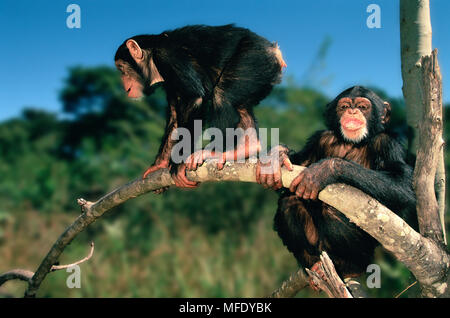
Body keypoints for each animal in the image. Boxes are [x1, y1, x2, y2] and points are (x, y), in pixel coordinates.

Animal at [114, 24, 286, 190]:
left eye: (122, 69)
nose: (123, 83)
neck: (153, 58)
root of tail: (275, 50)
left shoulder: (168, 57)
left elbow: (194, 97)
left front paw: (178, 164)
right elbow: (174, 117)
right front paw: (159, 164)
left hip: (253, 59)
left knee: (223, 96)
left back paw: (212, 152)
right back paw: (248, 146)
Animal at [256, 85, 418, 282]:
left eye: (363, 107)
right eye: (344, 106)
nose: (353, 111)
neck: (352, 143)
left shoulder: (388, 143)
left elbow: (402, 184)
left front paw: (324, 170)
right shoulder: (320, 138)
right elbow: (297, 167)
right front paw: (277, 156)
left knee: (330, 211)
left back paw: (349, 267)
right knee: (290, 201)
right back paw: (312, 263)